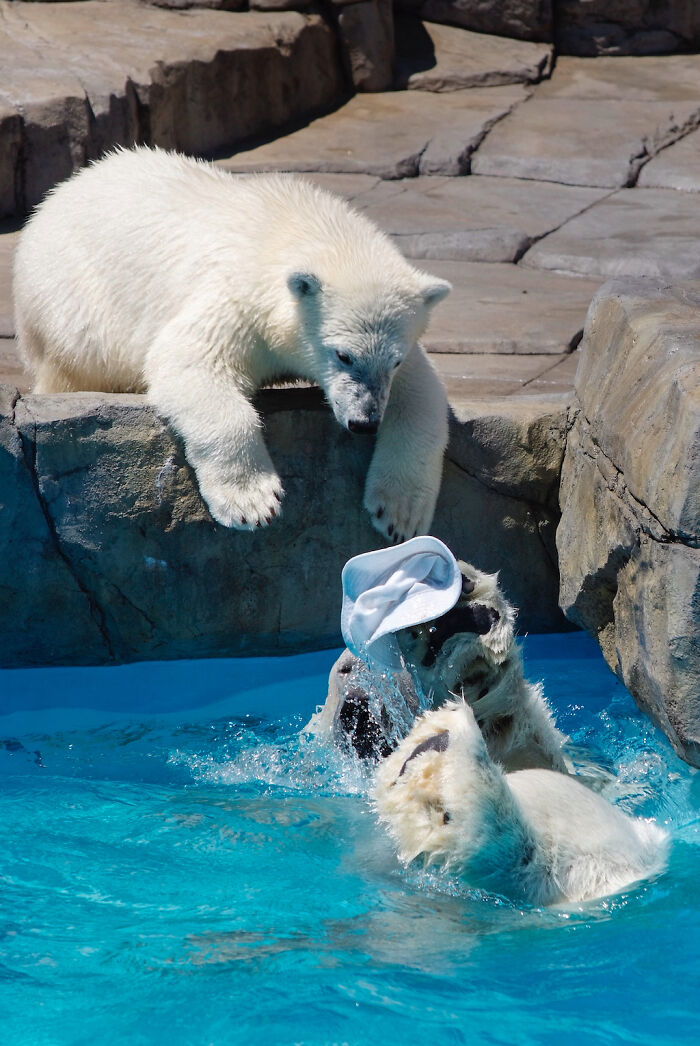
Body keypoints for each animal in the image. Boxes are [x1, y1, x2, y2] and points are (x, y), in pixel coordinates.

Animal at [13, 147, 451, 540]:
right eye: (343, 355)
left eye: (393, 362)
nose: (364, 422)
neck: (293, 228)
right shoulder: (238, 299)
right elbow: (188, 361)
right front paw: (252, 502)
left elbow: (422, 395)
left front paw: (400, 513)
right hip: (73, 305)